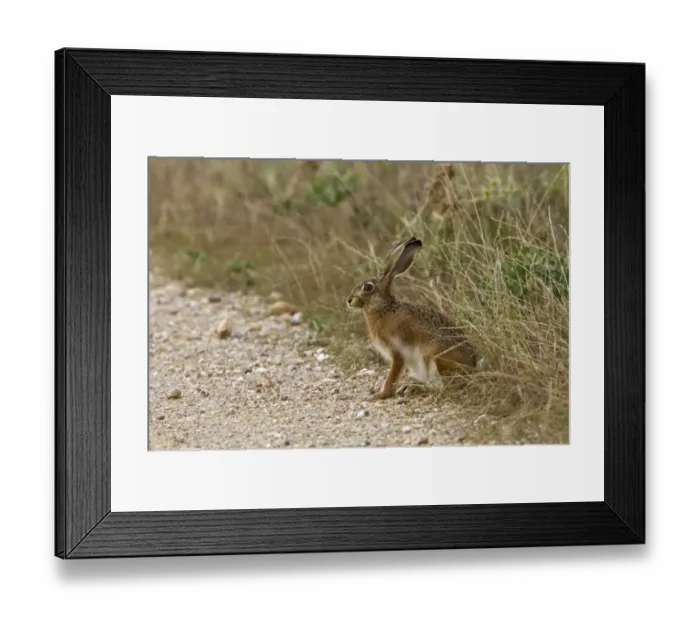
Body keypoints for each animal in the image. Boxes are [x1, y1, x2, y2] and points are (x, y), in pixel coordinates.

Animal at [347, 236, 484, 400]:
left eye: (368, 287)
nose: (349, 300)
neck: (384, 308)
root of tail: (473, 365)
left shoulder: (397, 351)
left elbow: (392, 375)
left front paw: (381, 394)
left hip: (434, 358)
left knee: (445, 388)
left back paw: (415, 388)